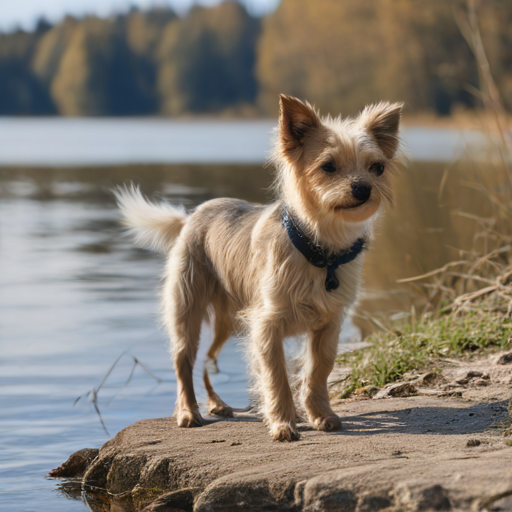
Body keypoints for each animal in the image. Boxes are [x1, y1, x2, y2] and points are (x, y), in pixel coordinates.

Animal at [116, 95, 404, 440]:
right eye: (328, 166)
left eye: (377, 167)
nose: (363, 188)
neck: (320, 249)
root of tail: (191, 217)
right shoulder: (267, 326)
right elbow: (277, 377)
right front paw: (283, 424)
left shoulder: (327, 325)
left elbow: (318, 371)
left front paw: (320, 415)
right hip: (187, 313)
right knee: (184, 363)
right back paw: (188, 412)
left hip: (229, 322)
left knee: (209, 359)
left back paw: (218, 405)